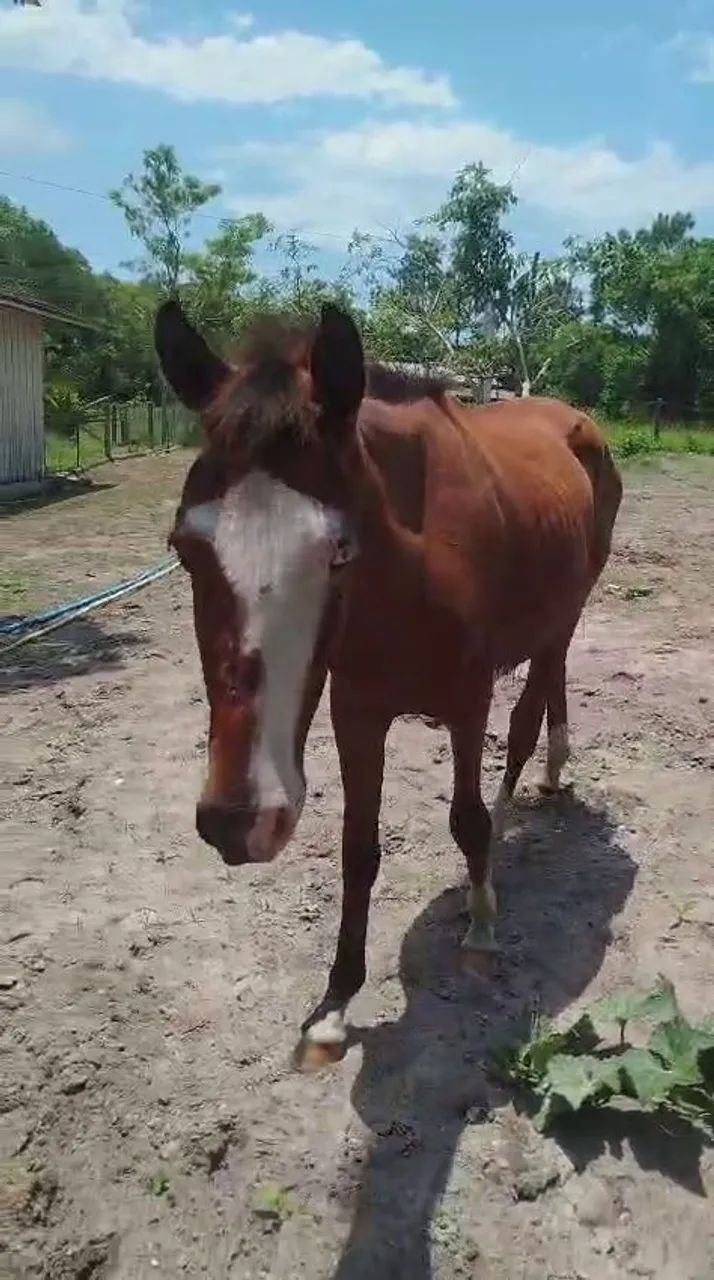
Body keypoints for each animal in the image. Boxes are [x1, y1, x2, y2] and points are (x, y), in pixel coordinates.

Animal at [155, 299, 622, 1069]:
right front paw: (334, 1005)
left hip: (568, 609)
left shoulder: (467, 704)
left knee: (533, 706)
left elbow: (466, 819)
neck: (415, 569)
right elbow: (358, 850)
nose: (237, 820)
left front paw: (482, 927)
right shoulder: (357, 713)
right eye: (186, 549)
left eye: (339, 551)